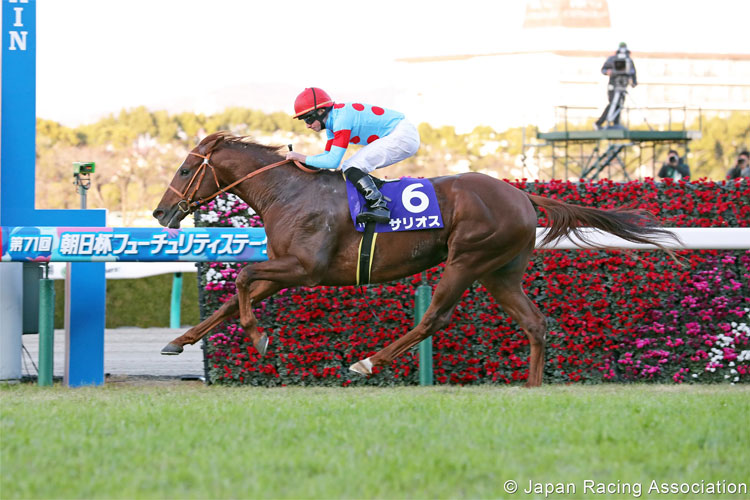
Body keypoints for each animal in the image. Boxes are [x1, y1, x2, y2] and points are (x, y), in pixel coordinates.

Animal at [153, 132, 680, 386]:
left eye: (183, 169)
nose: (160, 212)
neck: (290, 192)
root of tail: (521, 195)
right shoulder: (287, 269)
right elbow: (233, 296)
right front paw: (178, 341)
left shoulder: (307, 269)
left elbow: (242, 277)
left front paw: (259, 338)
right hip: (500, 272)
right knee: (535, 323)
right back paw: (532, 387)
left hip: (467, 260)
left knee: (433, 318)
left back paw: (369, 362)